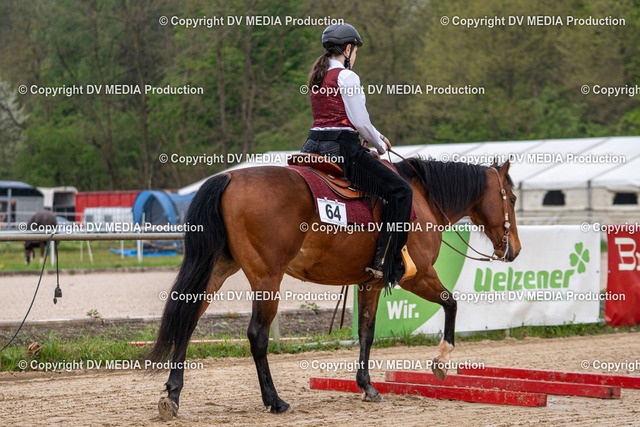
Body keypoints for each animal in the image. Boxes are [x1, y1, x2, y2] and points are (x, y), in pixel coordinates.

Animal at [148, 156, 521, 419]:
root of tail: (230, 177)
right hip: (267, 278)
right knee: (257, 335)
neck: (421, 199)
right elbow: (451, 303)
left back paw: (172, 395)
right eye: (514, 198)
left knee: (188, 319)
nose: (514, 249)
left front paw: (367, 386)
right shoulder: (418, 275)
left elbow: (366, 332)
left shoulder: (370, 283)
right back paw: (274, 401)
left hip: (219, 269)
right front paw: (441, 361)